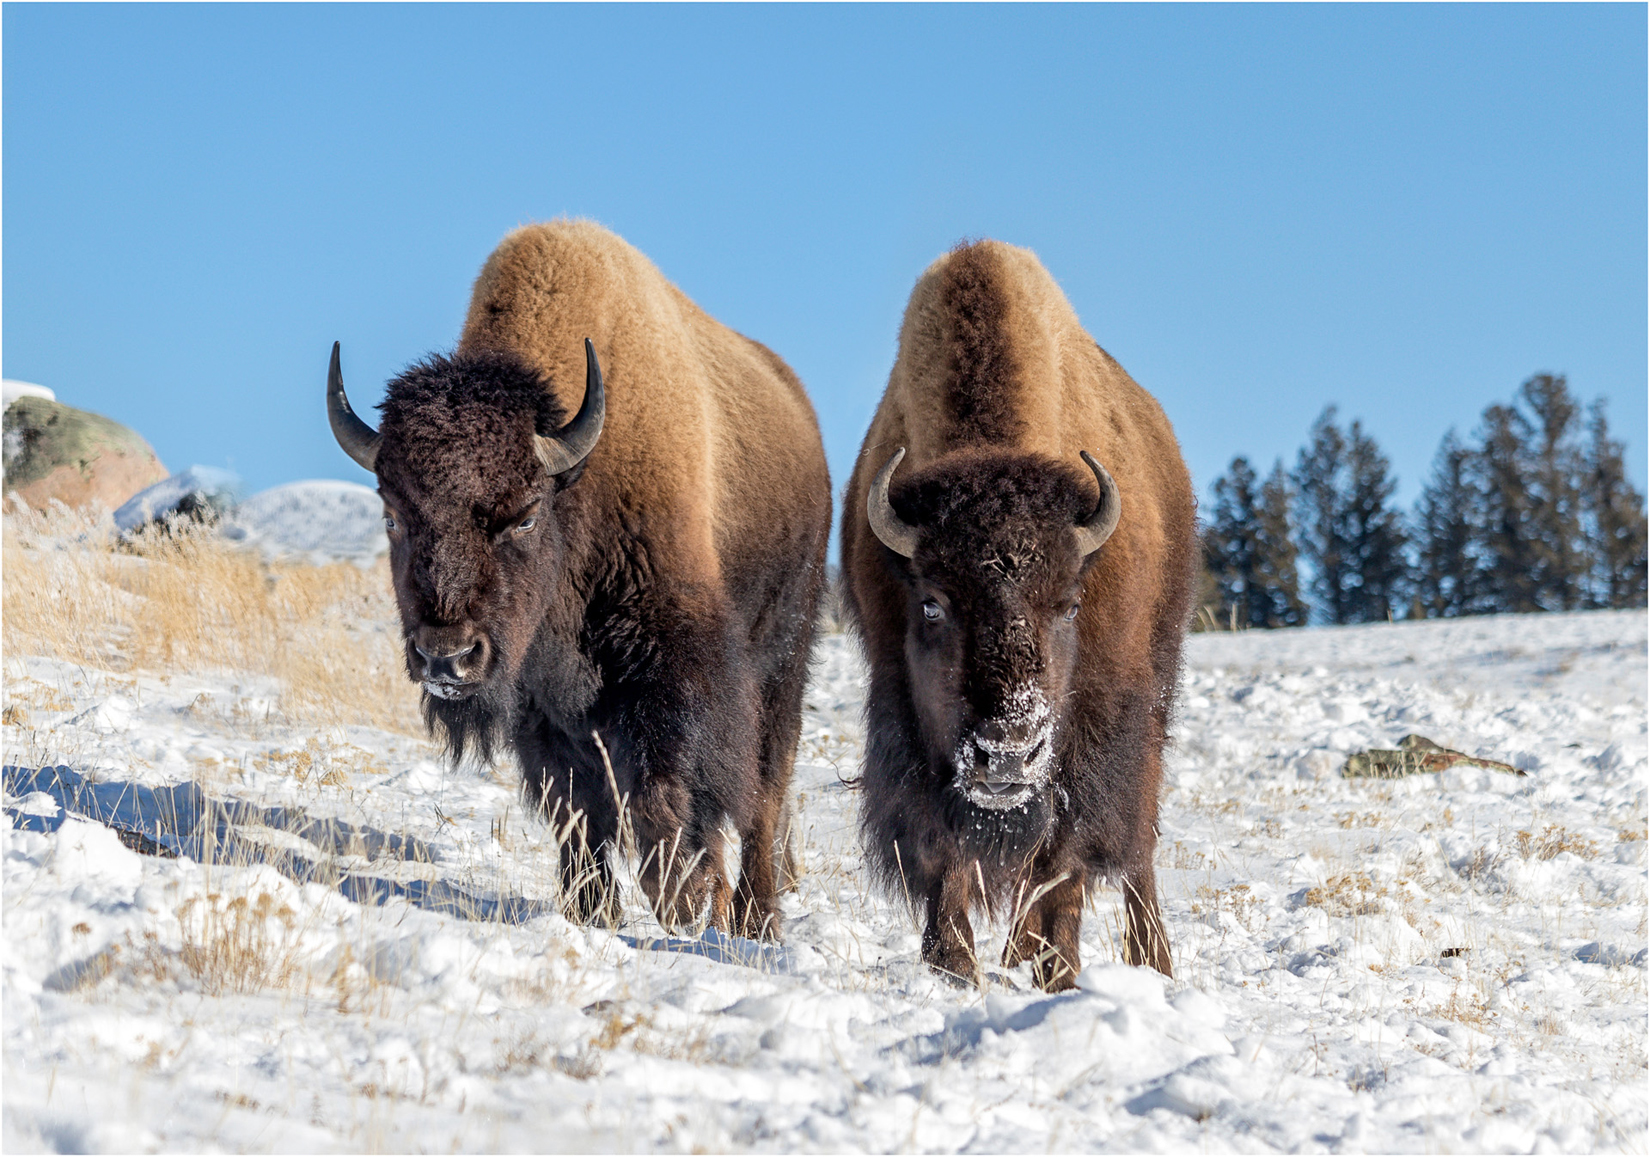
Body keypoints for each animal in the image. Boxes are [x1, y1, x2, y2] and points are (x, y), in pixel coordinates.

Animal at [327, 220, 831, 939]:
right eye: (392, 514)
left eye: (525, 515)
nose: (445, 656)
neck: (578, 483)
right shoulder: (545, 707)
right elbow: (578, 812)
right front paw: (594, 912)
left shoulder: (675, 669)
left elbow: (665, 791)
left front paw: (689, 898)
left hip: (783, 658)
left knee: (765, 791)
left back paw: (755, 919)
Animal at [841, 240, 1195, 988]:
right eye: (931, 604)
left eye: (1070, 604)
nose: (1007, 752)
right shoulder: (910, 718)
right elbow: (941, 845)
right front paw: (953, 965)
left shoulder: (1092, 731)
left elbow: (1066, 856)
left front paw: (1058, 972)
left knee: (1136, 841)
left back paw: (1148, 959)